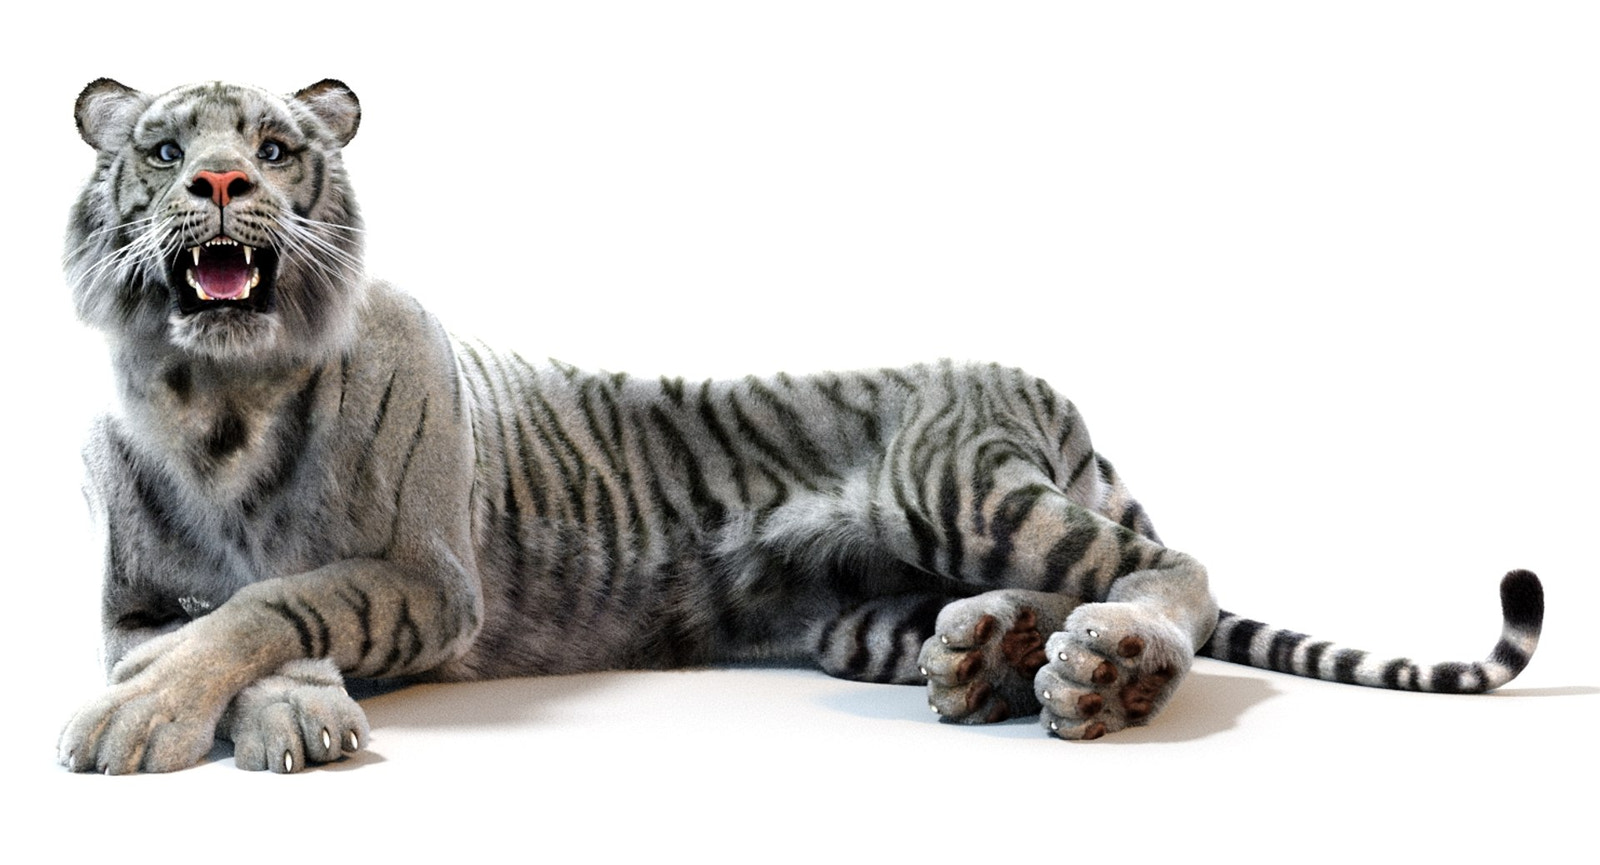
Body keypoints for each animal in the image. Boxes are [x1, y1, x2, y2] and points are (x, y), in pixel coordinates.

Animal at [58, 78, 1545, 774]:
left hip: (967, 483)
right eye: (162, 148)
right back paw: (992, 655)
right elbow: (226, 623)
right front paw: (243, 712)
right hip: (853, 611)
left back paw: (1110, 667)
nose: (222, 183)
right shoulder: (134, 595)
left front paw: (156, 716)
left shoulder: (427, 575)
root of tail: (1042, 386)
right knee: (1023, 600)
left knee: (1167, 566)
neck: (221, 400)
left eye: (277, 145)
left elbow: (281, 601)